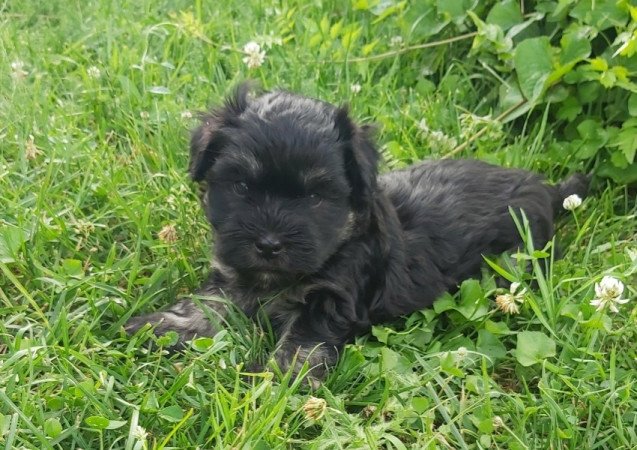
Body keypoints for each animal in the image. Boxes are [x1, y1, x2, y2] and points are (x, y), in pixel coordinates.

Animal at [126, 84, 588, 380]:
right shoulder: (232, 275)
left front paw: (275, 381)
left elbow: (302, 344)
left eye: (315, 196)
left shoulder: (331, 299)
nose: (269, 244)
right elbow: (206, 306)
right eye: (241, 187)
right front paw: (159, 326)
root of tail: (548, 191)